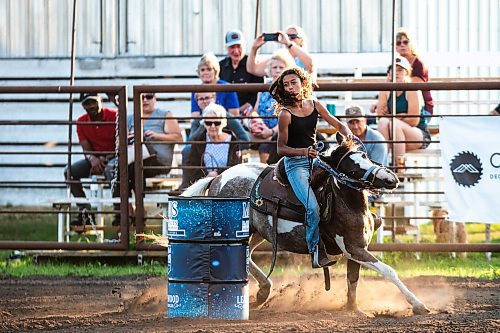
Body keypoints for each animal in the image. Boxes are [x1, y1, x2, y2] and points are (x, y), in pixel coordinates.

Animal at [183, 133, 430, 314]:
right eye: (352, 168)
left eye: (365, 156)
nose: (390, 179)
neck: (344, 201)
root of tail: (217, 179)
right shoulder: (354, 248)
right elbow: (389, 271)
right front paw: (418, 305)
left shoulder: (358, 248)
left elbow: (353, 280)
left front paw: (353, 309)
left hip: (257, 233)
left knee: (246, 257)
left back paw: (263, 292)